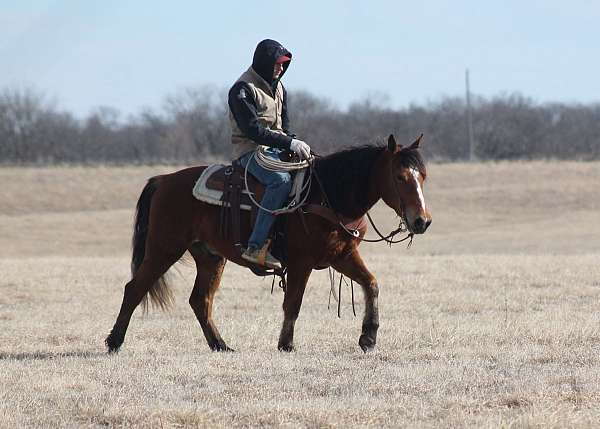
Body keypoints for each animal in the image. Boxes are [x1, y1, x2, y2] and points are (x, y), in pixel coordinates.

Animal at [104, 134, 432, 352]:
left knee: (200, 300)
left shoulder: (342, 255)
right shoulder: (301, 262)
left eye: (423, 176)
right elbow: (294, 302)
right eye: (400, 176)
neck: (328, 194)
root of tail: (164, 180)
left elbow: (371, 283)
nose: (422, 221)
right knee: (135, 289)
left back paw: (221, 345)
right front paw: (286, 344)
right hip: (164, 248)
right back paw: (114, 341)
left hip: (210, 257)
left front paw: (369, 337)